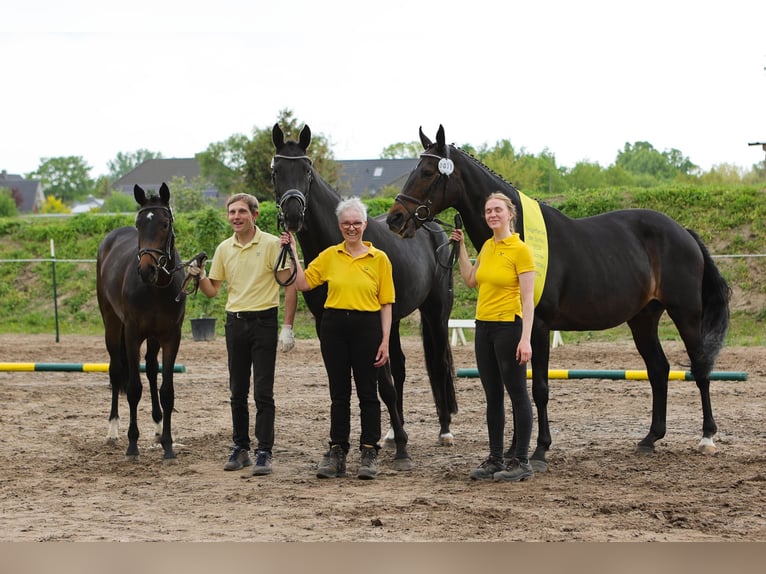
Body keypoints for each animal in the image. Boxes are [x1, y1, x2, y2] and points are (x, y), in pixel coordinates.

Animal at [97, 184, 187, 464]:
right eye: (139, 224)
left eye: (165, 224)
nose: (147, 269)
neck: (157, 288)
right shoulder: (133, 334)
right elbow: (134, 389)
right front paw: (132, 446)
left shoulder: (171, 337)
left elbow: (167, 390)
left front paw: (168, 446)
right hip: (112, 324)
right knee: (116, 370)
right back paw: (113, 428)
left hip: (154, 337)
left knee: (150, 369)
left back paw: (157, 427)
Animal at [272, 125, 460, 464]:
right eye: (276, 171)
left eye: (307, 170)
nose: (293, 214)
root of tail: (433, 228)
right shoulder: (326, 324)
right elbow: (345, 383)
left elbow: (381, 384)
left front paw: (402, 445)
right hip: (394, 321)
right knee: (400, 368)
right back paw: (392, 433)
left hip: (436, 314)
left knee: (438, 364)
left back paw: (444, 431)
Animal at [388, 126, 736, 472]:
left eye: (428, 172)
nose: (395, 219)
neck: (518, 235)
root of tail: (684, 232)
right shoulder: (518, 330)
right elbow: (516, 387)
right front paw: (515, 451)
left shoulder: (539, 327)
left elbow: (540, 389)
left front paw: (540, 450)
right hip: (643, 319)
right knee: (659, 369)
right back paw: (650, 438)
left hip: (686, 313)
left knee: (700, 367)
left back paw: (707, 437)